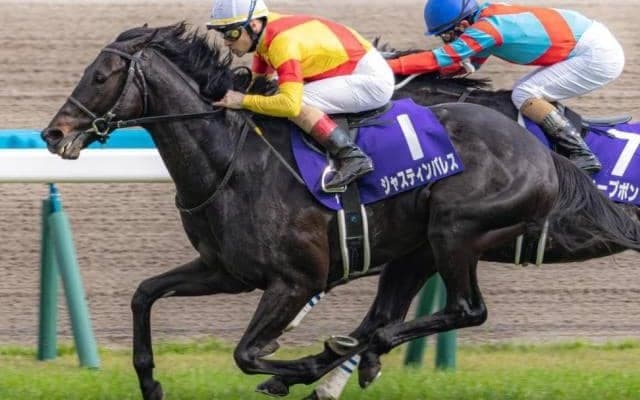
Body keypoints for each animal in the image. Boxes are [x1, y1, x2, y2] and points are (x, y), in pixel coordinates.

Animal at [40, 24, 640, 399]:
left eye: (100, 76)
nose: (53, 133)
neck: (232, 160)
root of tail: (543, 157)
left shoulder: (297, 279)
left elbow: (248, 352)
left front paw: (300, 367)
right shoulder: (227, 271)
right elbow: (145, 294)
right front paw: (150, 382)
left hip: (453, 233)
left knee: (463, 311)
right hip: (423, 247)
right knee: (393, 319)